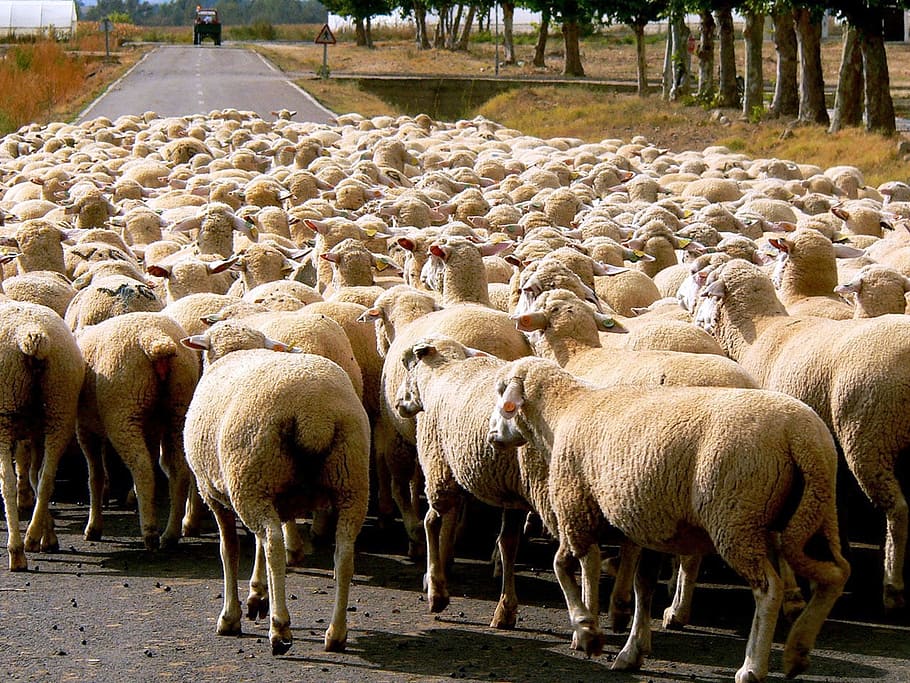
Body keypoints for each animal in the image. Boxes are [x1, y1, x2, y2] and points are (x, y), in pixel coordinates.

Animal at [0, 300, 84, 570]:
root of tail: (33, 334)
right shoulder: (34, 432)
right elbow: (35, 475)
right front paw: (49, 533)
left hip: (5, 413)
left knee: (7, 483)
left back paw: (17, 551)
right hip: (60, 404)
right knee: (47, 478)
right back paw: (36, 535)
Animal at [75, 311, 201, 549]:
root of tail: (156, 340)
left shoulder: (85, 430)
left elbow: (95, 476)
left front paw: (93, 528)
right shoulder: (150, 428)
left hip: (124, 411)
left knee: (142, 467)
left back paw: (150, 532)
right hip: (179, 408)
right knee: (179, 471)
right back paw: (170, 534)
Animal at [181, 323, 370, 655]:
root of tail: (314, 413)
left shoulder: (215, 493)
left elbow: (230, 550)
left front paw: (230, 616)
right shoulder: (273, 496)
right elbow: (254, 546)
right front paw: (258, 595)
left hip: (251, 476)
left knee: (274, 545)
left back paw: (280, 629)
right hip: (350, 481)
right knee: (344, 554)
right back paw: (336, 634)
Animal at [486, 355, 849, 682]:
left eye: (502, 393)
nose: (491, 435)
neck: (563, 411)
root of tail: (800, 435)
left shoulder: (576, 511)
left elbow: (561, 566)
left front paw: (588, 631)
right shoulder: (650, 524)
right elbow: (643, 586)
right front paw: (632, 651)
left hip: (737, 519)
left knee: (769, 588)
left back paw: (752, 668)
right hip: (814, 512)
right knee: (836, 575)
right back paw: (797, 651)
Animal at [695, 258, 910, 612]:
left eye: (706, 288)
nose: (696, 321)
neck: (760, 331)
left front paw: (794, 592)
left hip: (869, 436)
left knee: (897, 509)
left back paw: (893, 586)